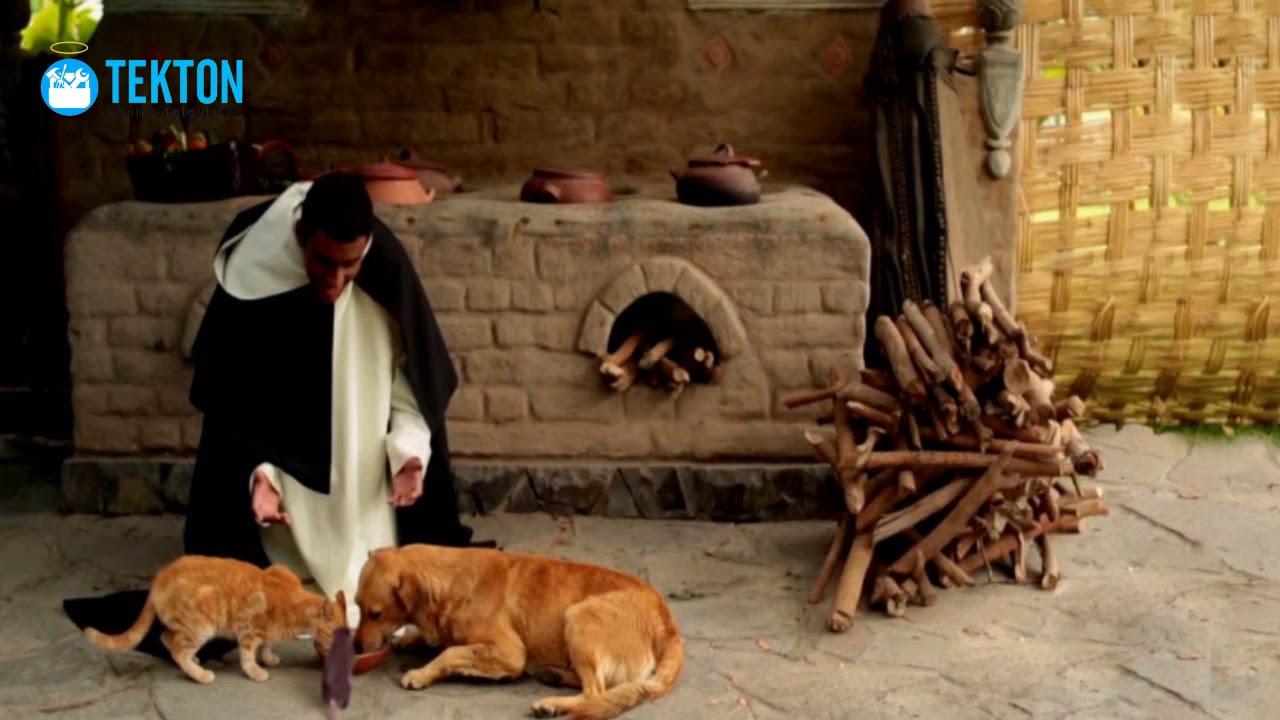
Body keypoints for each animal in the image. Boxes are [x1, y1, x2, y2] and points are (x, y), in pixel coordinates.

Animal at [83, 550, 348, 681]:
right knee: (177, 649)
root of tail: (160, 576)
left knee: (167, 638)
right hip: (201, 627)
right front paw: (256, 672)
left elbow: (267, 643)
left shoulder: (278, 570)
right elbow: (248, 656)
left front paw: (269, 657)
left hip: (187, 628)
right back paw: (200, 675)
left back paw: (193, 661)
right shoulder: (247, 628)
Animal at [355, 543, 686, 717]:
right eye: (356, 606)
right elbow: (439, 642)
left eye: (375, 613)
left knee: (596, 692)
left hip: (579, 617)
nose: (355, 648)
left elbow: (449, 653)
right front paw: (407, 639)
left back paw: (551, 704)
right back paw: (553, 675)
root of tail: (667, 625)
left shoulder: (510, 653)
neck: (453, 583)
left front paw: (420, 673)